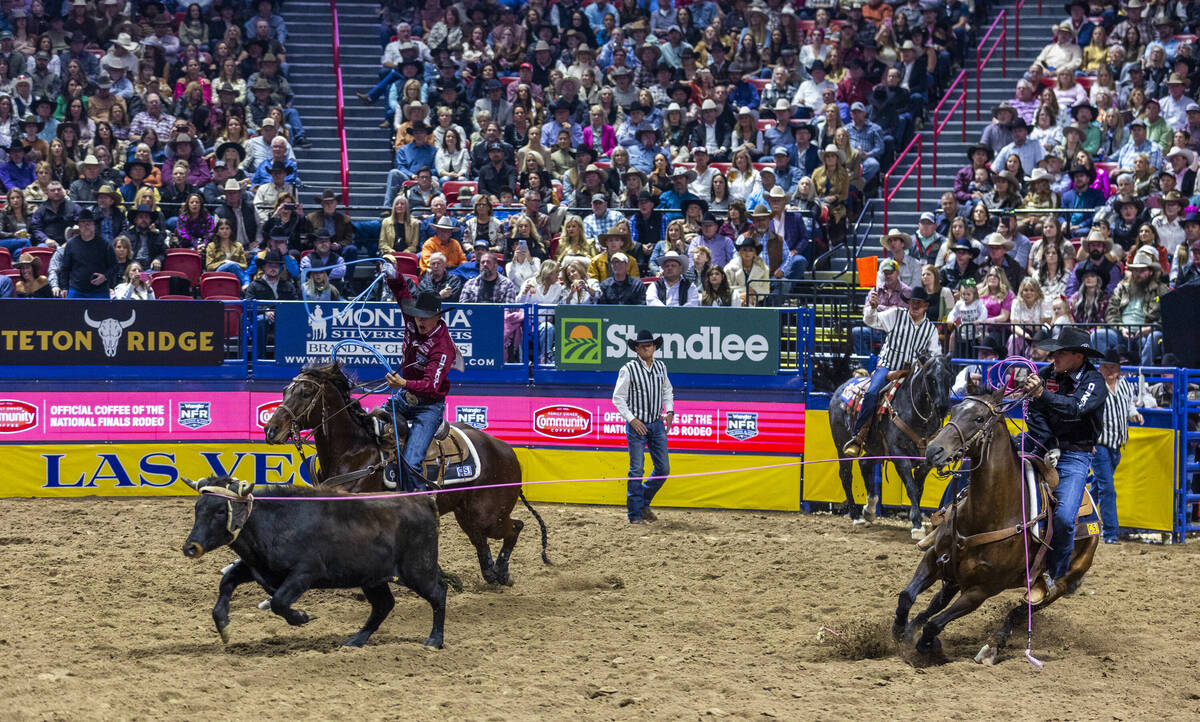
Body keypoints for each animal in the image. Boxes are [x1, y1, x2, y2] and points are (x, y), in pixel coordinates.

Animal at [265, 359, 549, 585]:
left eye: (306, 393)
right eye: (284, 390)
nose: (271, 429)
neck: (354, 451)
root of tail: (507, 451)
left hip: (488, 514)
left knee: (515, 527)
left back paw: (500, 571)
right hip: (467, 514)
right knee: (481, 539)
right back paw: (490, 573)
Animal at [830, 352, 950, 534]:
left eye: (949, 376)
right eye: (930, 378)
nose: (942, 407)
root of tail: (842, 388)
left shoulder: (925, 462)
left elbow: (918, 488)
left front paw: (916, 519)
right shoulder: (899, 455)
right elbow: (911, 487)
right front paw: (917, 525)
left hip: (877, 449)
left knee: (864, 463)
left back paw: (870, 509)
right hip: (841, 446)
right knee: (845, 475)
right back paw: (856, 516)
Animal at [892, 388, 1099, 662]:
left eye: (979, 418)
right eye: (954, 411)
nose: (934, 450)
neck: (986, 516)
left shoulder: (982, 590)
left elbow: (935, 625)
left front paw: (928, 646)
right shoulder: (934, 557)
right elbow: (907, 596)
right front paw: (899, 631)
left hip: (1062, 583)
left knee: (1020, 611)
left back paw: (991, 648)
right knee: (940, 599)